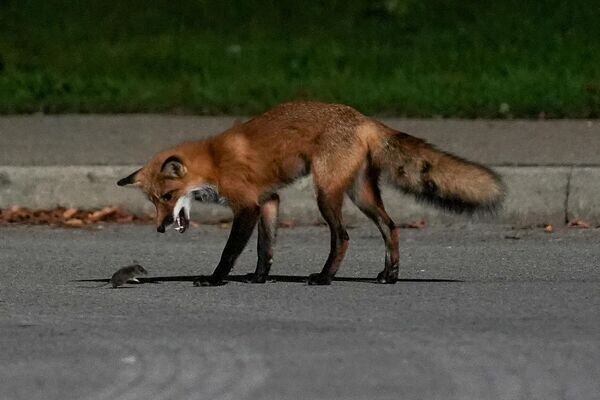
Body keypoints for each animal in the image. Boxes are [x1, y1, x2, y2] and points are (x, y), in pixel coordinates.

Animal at [117, 101, 502, 286]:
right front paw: (259, 278)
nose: (160, 227)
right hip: (361, 194)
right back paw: (389, 275)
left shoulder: (246, 206)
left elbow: (230, 253)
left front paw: (214, 280)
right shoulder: (268, 201)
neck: (213, 161)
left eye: (167, 197)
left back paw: (325, 277)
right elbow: (265, 249)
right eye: (153, 201)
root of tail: (363, 118)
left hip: (326, 194)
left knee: (343, 236)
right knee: (390, 226)